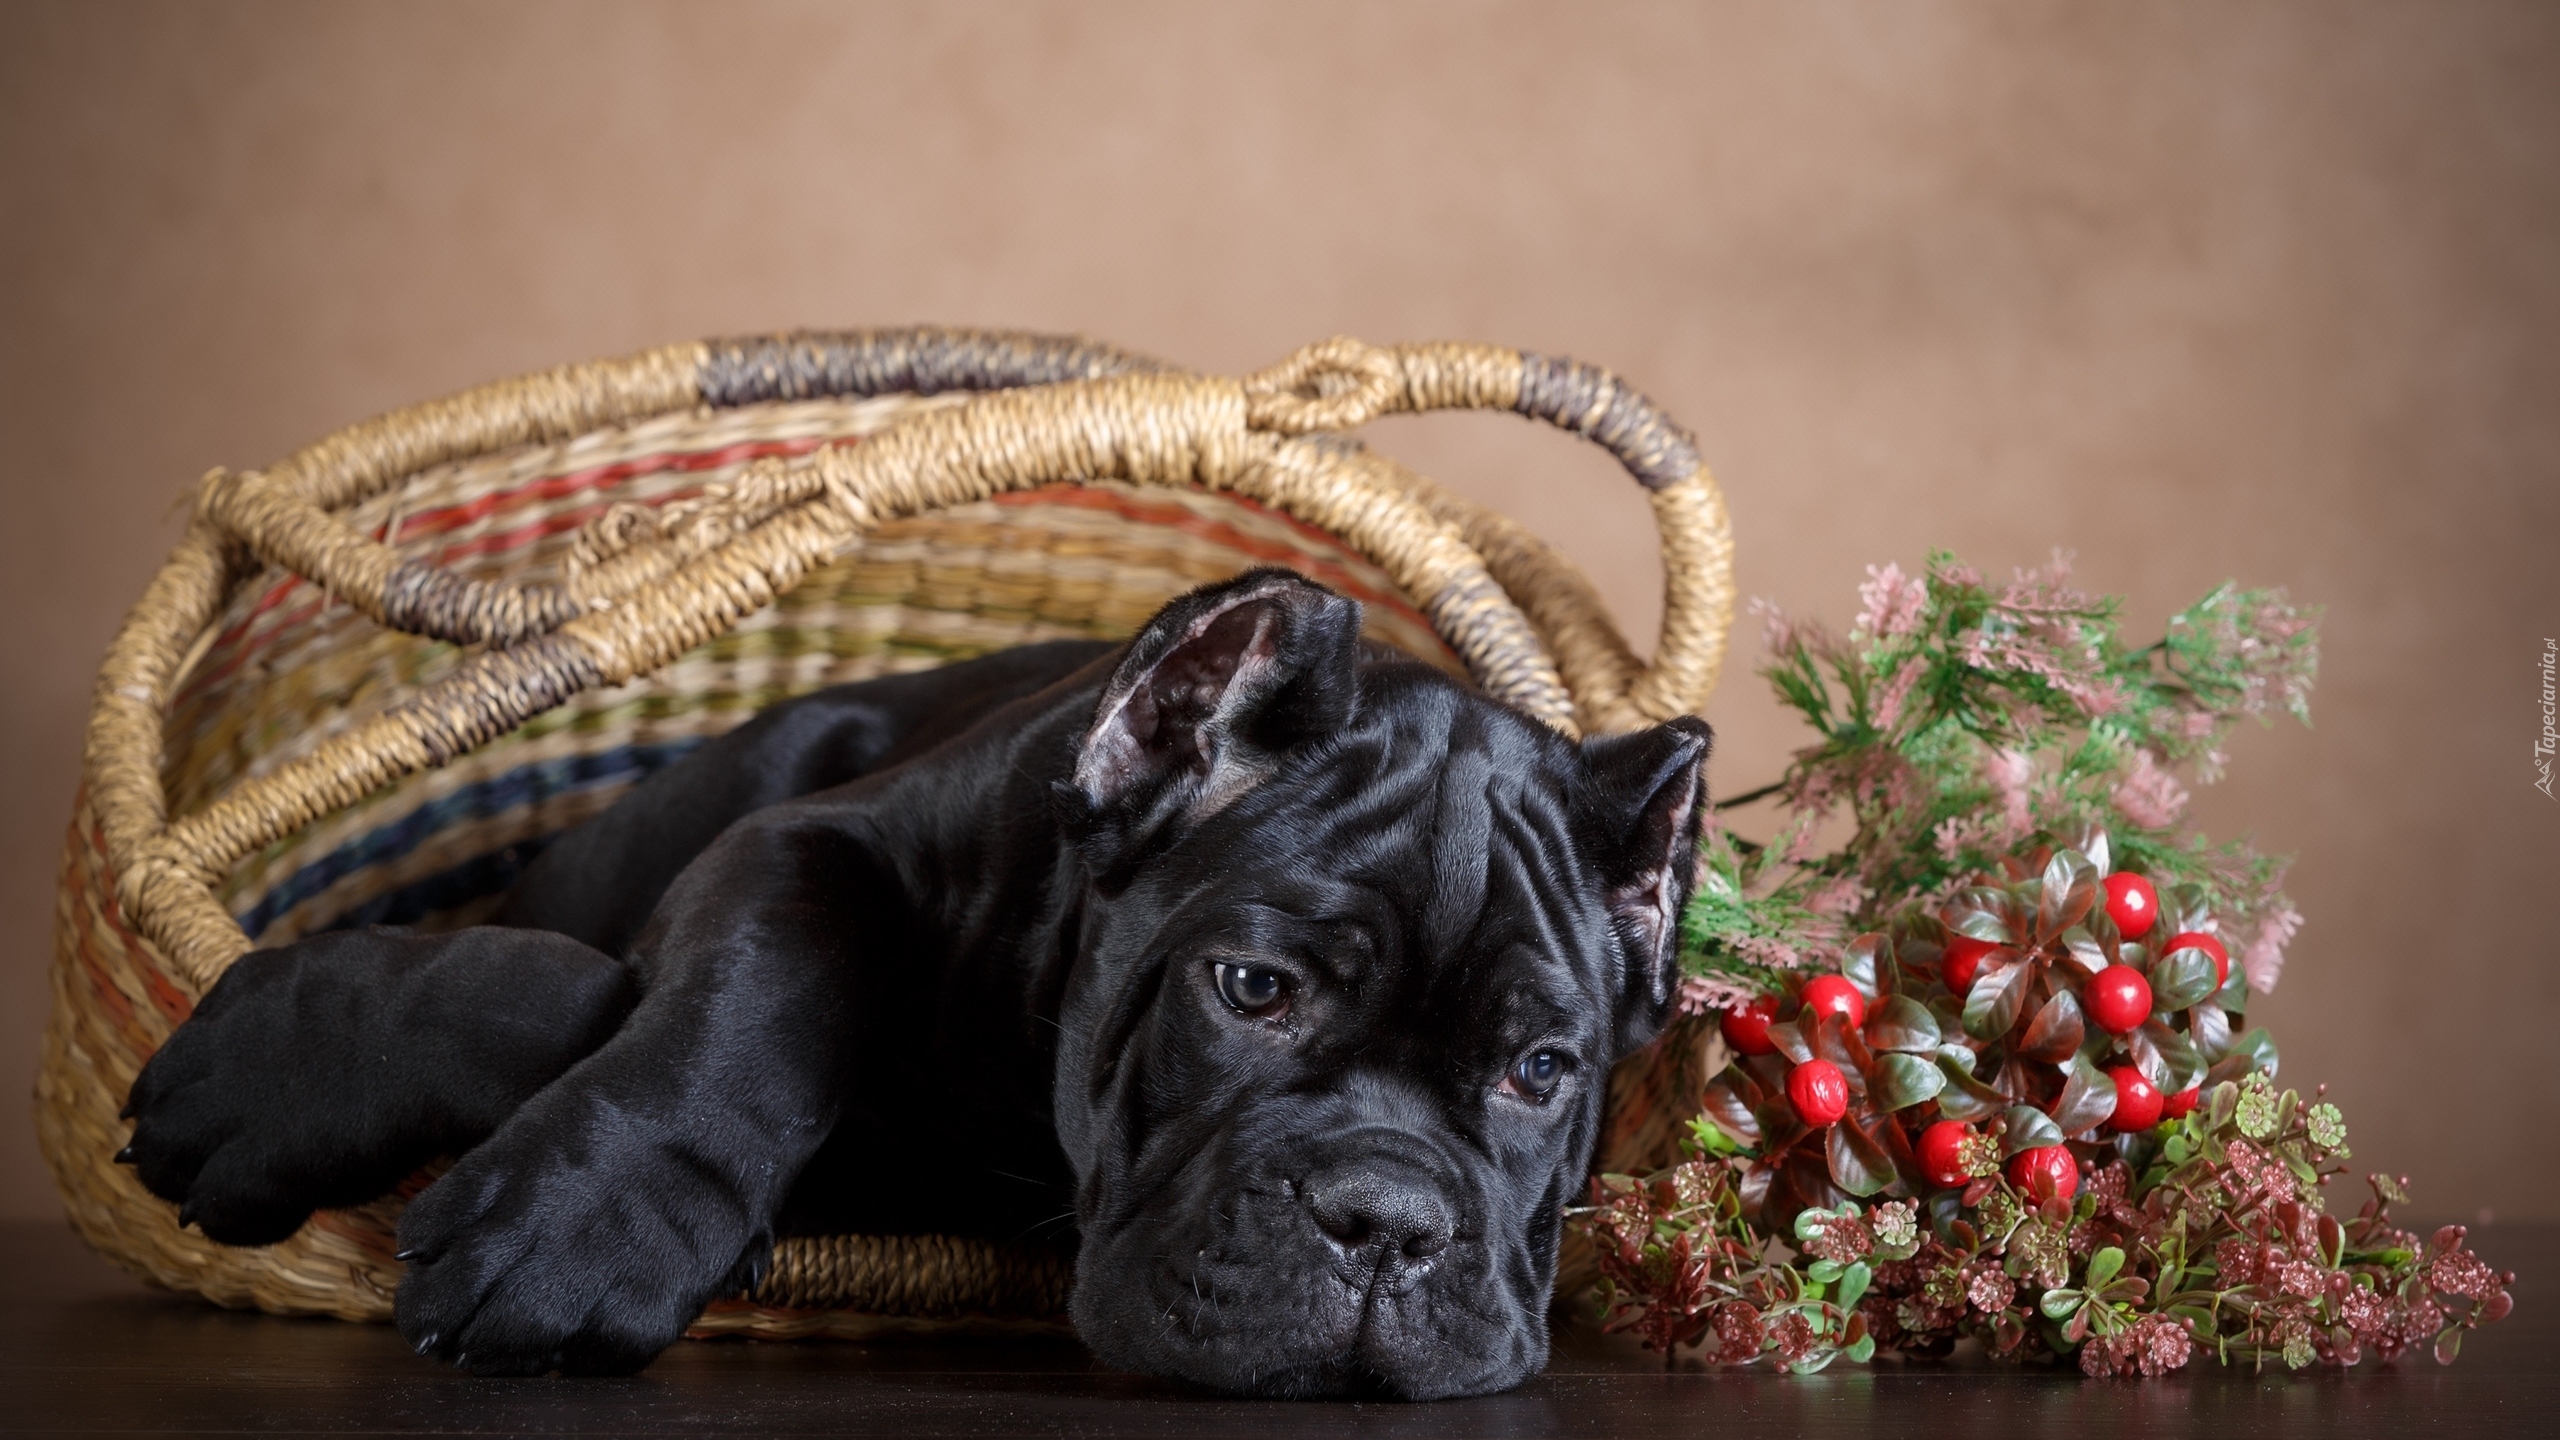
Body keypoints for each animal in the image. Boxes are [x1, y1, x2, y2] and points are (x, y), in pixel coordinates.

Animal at [124, 568, 1720, 1393]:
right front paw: (592, 1225)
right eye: (1253, 992)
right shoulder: (800, 844)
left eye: (1541, 1072)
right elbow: (744, 999)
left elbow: (581, 1003)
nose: (1386, 1223)